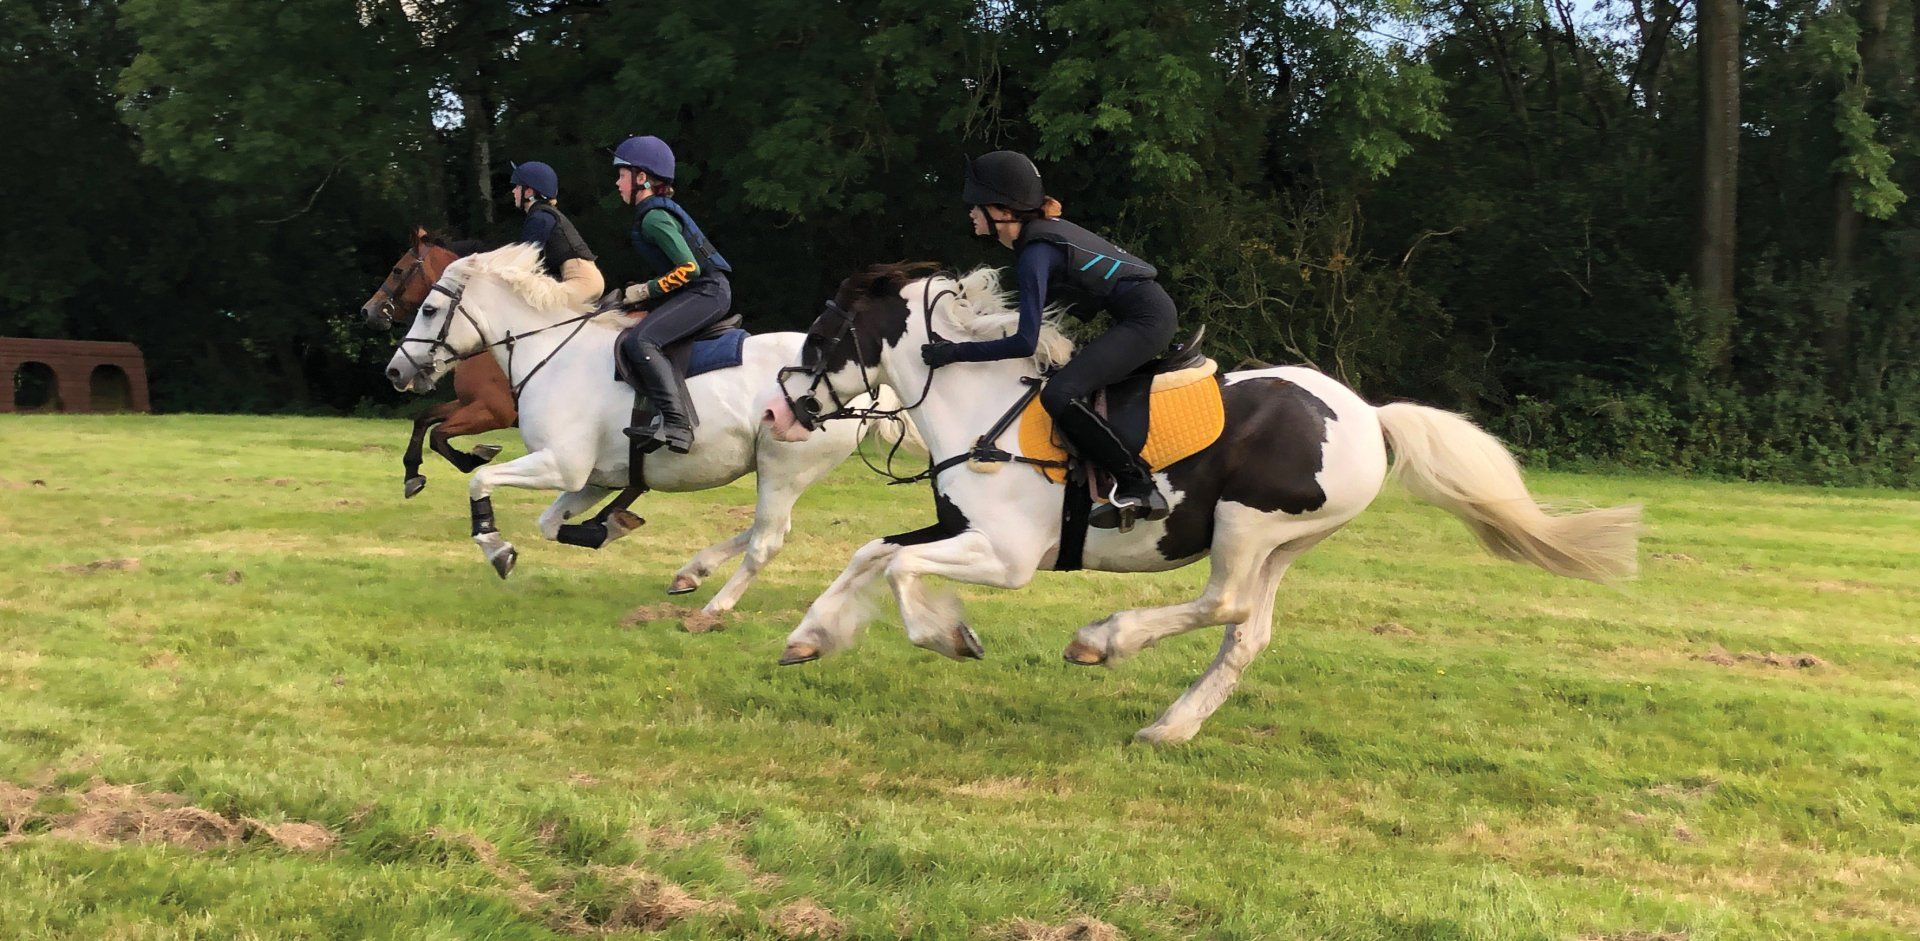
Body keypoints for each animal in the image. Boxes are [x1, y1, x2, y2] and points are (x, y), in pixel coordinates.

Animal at [382, 242, 906, 610]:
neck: (550, 353)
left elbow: (480, 479)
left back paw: (714, 609)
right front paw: (608, 527)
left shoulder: (561, 465)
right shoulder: (593, 478)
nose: (395, 371)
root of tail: (868, 382)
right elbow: (550, 524)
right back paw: (691, 572)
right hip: (777, 472)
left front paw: (495, 546)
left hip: (784, 469)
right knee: (767, 529)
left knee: (766, 540)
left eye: (428, 310)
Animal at [760, 263, 1635, 741]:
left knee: (1223, 603)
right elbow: (870, 552)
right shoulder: (956, 526)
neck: (979, 404)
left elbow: (902, 570)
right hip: (1285, 544)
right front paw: (809, 636)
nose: (781, 410)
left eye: (821, 338)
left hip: (1248, 524)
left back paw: (1102, 641)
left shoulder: (1005, 557)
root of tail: (1368, 414)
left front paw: (948, 635)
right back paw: (1170, 725)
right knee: (1249, 628)